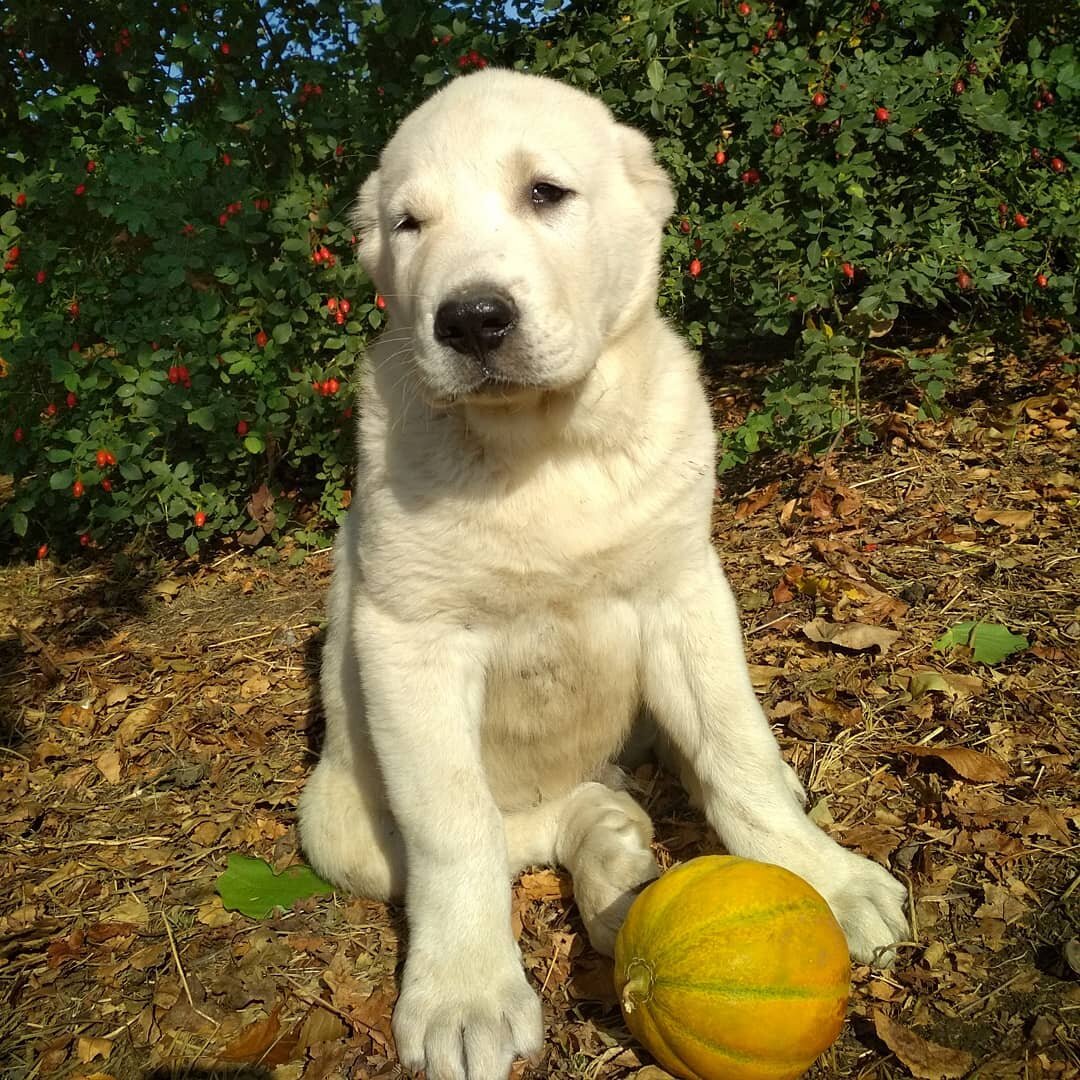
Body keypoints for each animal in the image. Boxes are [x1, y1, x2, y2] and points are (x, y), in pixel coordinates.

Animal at [298, 69, 911, 1080]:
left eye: (546, 193)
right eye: (408, 225)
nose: (469, 319)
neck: (542, 447)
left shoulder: (682, 592)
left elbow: (735, 751)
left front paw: (821, 877)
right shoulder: (409, 640)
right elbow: (454, 828)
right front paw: (465, 994)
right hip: (334, 815)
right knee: (513, 828)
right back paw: (607, 845)